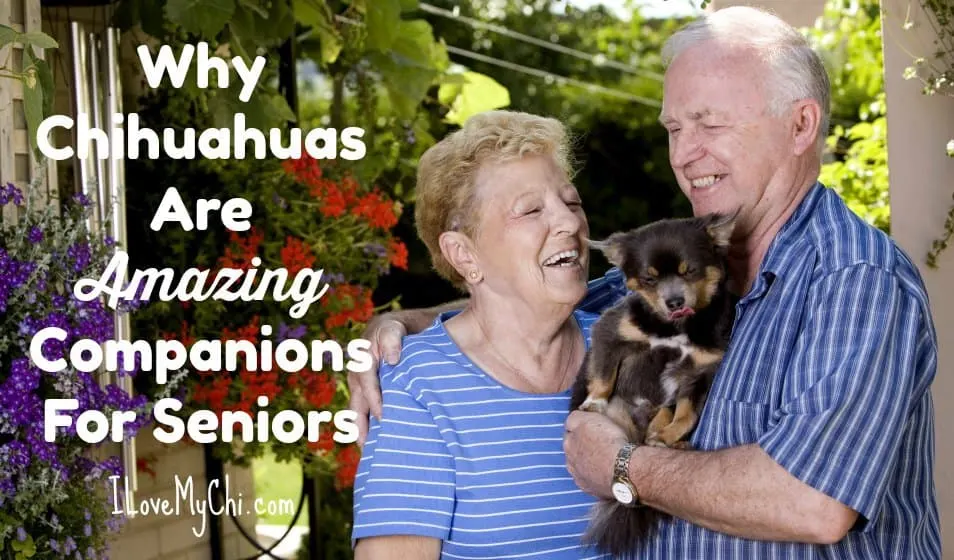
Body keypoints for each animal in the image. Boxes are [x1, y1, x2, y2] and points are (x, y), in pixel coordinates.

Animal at [568, 212, 732, 556]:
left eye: (690, 271)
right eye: (649, 278)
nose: (674, 301)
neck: (675, 328)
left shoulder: (699, 373)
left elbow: (687, 415)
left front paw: (670, 437)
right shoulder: (611, 334)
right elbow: (603, 375)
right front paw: (594, 402)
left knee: (654, 428)